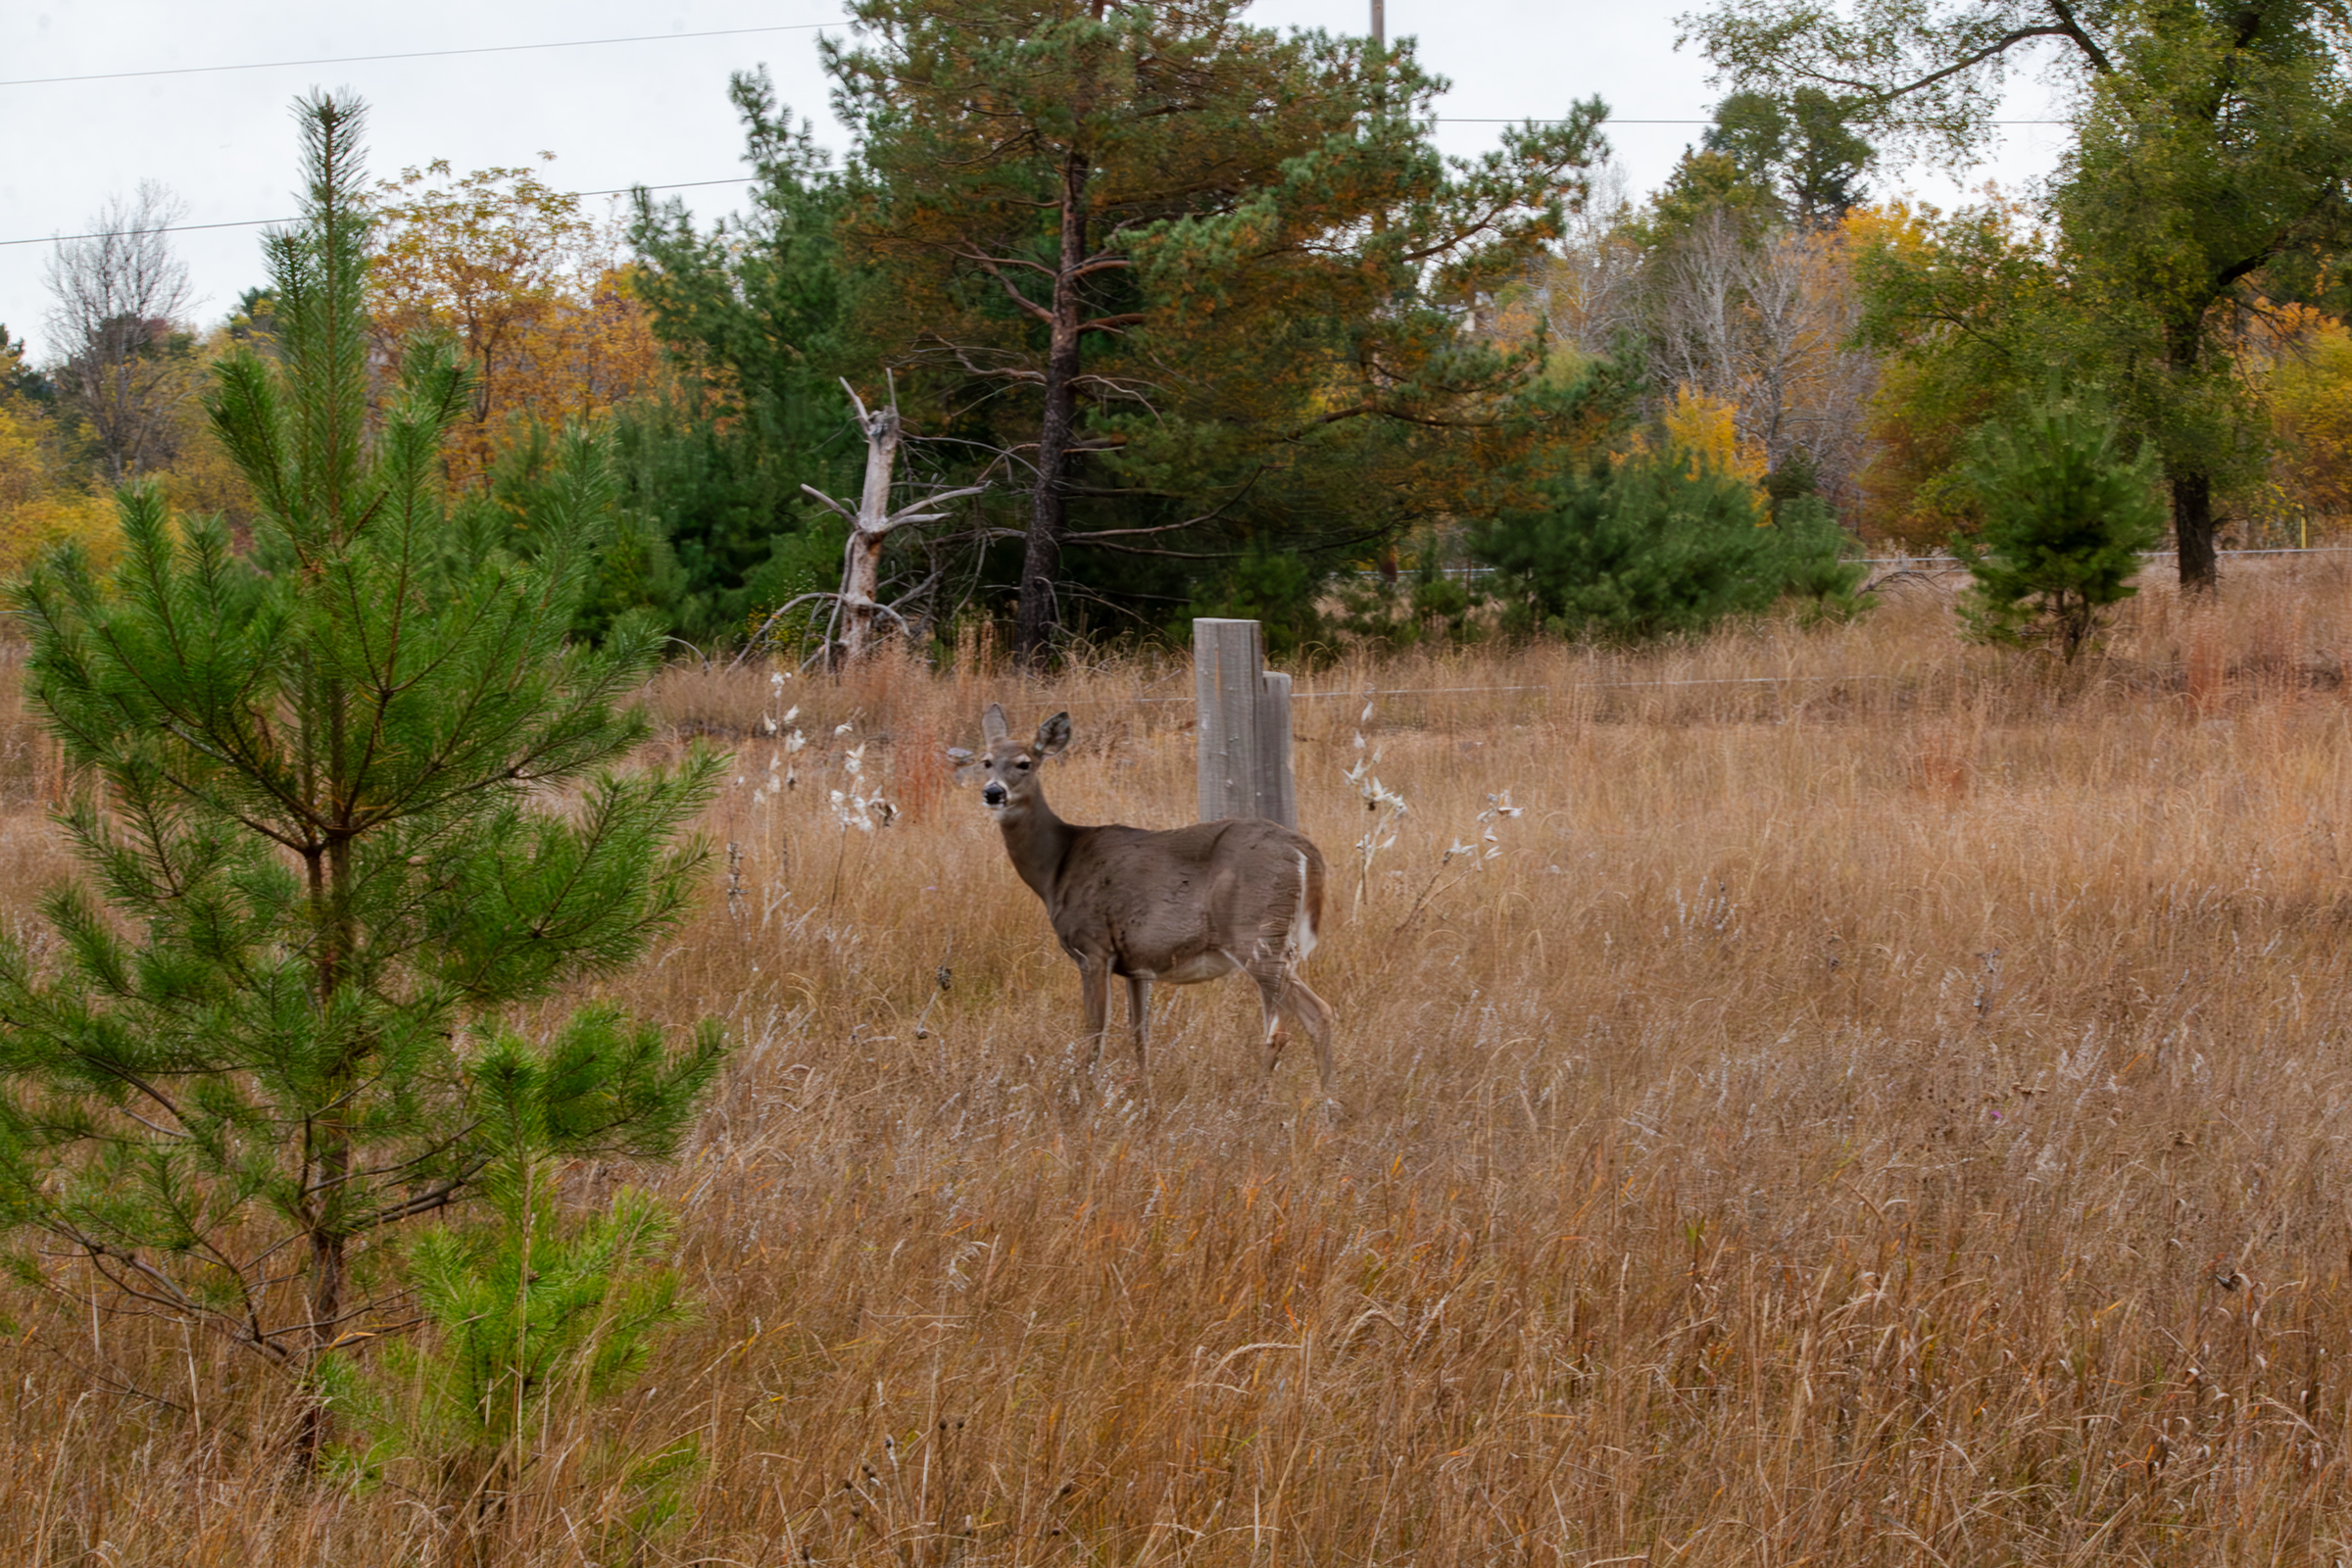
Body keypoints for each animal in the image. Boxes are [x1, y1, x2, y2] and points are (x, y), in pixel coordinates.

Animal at [959, 710, 1336, 1091]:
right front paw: (1144, 1092)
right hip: (1273, 942)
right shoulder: (1137, 965)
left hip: (1256, 934)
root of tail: (1305, 851)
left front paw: (1084, 1095)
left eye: (1024, 763)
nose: (993, 792)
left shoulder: (1092, 947)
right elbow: (1140, 1035)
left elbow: (1093, 1036)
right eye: (986, 761)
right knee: (1285, 1023)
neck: (1056, 867)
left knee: (1312, 1016)